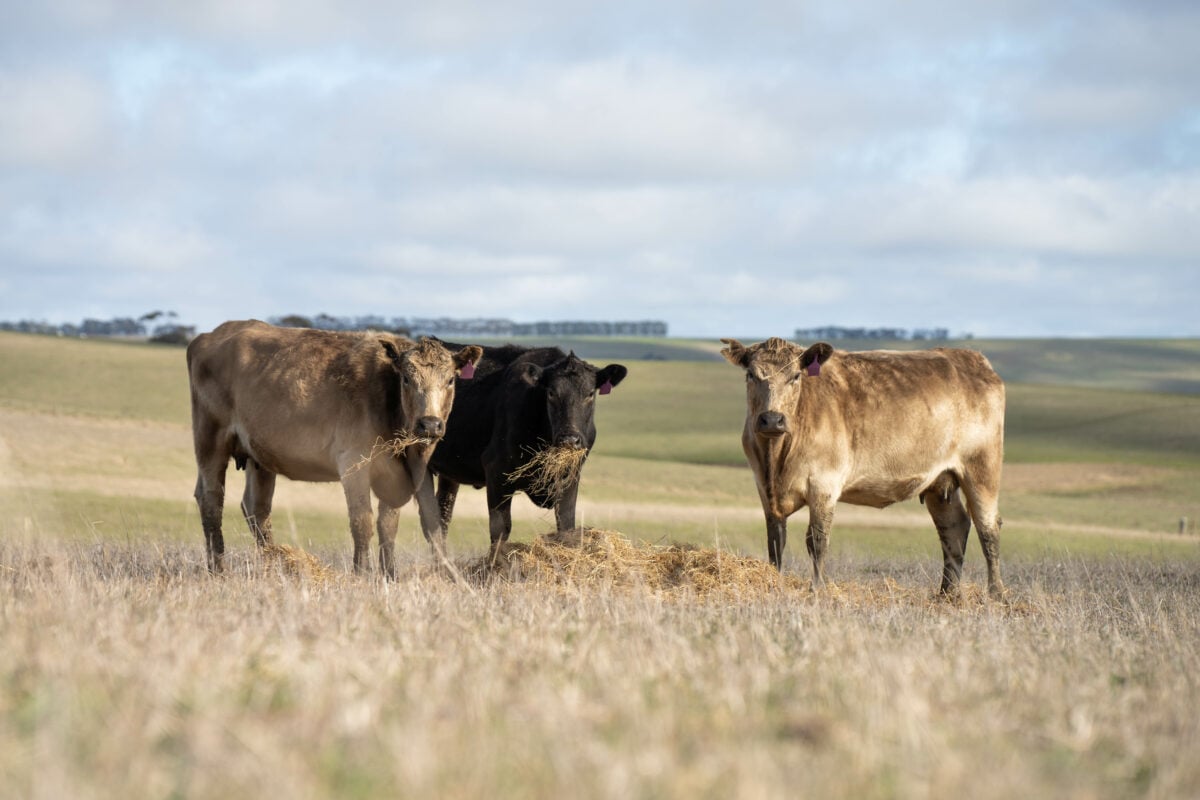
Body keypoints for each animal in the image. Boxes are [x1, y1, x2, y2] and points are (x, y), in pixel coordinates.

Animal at [187, 321, 482, 578]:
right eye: (407, 379)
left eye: (450, 380)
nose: (430, 424)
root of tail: (212, 335)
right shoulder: (354, 463)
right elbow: (362, 522)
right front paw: (361, 574)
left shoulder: (401, 472)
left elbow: (389, 525)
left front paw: (390, 576)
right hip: (210, 439)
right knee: (211, 499)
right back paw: (218, 569)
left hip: (259, 456)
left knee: (256, 508)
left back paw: (272, 563)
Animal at [427, 340, 628, 546]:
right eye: (551, 393)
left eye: (590, 394)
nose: (569, 439)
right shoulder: (496, 471)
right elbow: (500, 530)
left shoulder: (571, 477)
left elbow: (566, 524)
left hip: (450, 473)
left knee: (442, 518)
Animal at [720, 335, 1003, 597]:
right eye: (751, 374)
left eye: (796, 376)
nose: (772, 419)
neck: (776, 456)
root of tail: (973, 358)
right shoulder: (765, 487)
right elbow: (776, 540)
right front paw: (774, 583)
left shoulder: (823, 484)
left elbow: (817, 540)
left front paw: (817, 589)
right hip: (940, 480)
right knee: (954, 527)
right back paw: (947, 595)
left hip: (982, 469)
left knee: (988, 528)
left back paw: (995, 594)